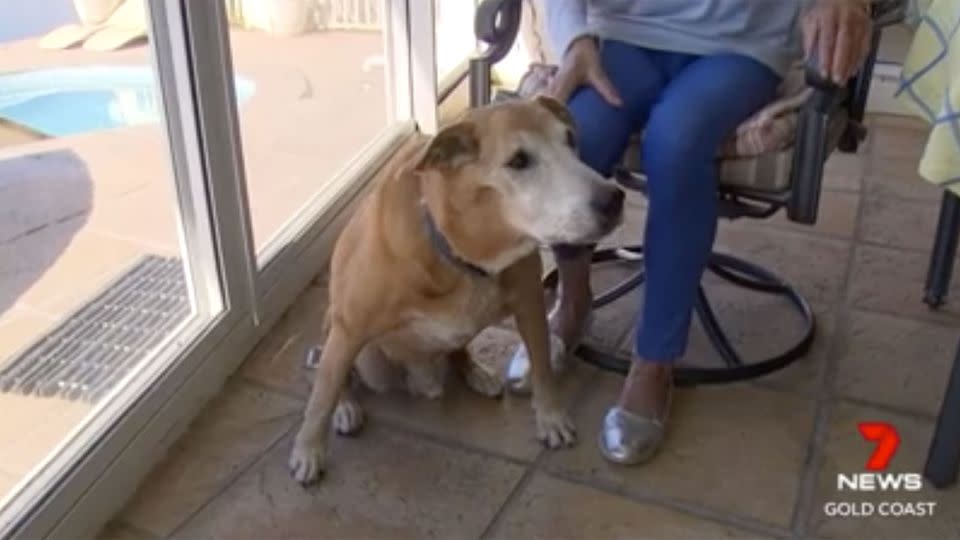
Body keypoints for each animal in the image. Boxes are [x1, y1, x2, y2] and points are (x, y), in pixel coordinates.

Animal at [288, 95, 628, 484]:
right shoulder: (350, 328)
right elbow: (323, 394)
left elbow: (542, 367)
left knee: (456, 350)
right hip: (347, 337)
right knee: (331, 372)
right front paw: (308, 450)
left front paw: (551, 418)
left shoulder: (530, 304)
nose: (614, 199)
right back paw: (346, 407)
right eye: (519, 161)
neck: (461, 255)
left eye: (570, 140)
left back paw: (475, 372)